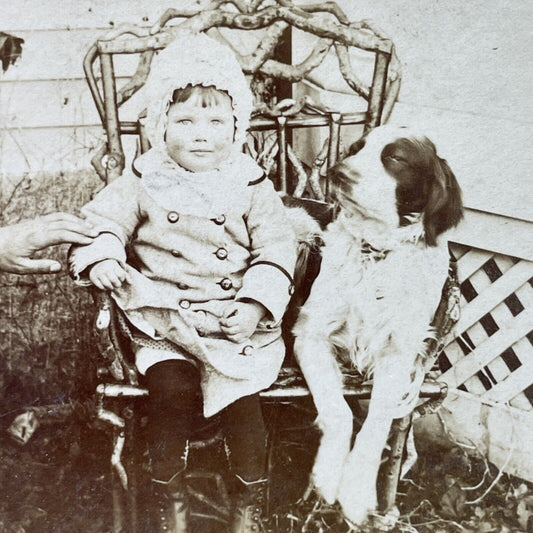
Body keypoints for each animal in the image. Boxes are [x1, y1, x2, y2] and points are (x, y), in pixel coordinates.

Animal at [290, 123, 462, 524]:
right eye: (354, 149)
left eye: (395, 158)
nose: (338, 172)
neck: (377, 254)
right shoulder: (310, 333)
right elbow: (339, 412)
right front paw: (327, 475)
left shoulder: (398, 354)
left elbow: (376, 425)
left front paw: (355, 491)